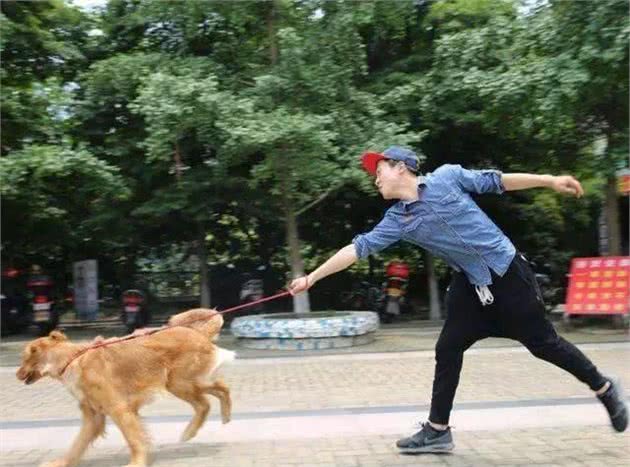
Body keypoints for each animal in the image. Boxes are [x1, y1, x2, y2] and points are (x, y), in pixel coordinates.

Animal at [16, 308, 234, 467]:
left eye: (23, 359)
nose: (17, 374)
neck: (72, 359)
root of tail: (196, 332)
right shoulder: (94, 416)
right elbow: (77, 445)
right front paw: (61, 462)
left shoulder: (119, 409)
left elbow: (134, 440)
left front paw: (137, 463)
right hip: (183, 383)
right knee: (215, 393)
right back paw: (216, 420)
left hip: (179, 383)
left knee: (211, 397)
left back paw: (197, 428)